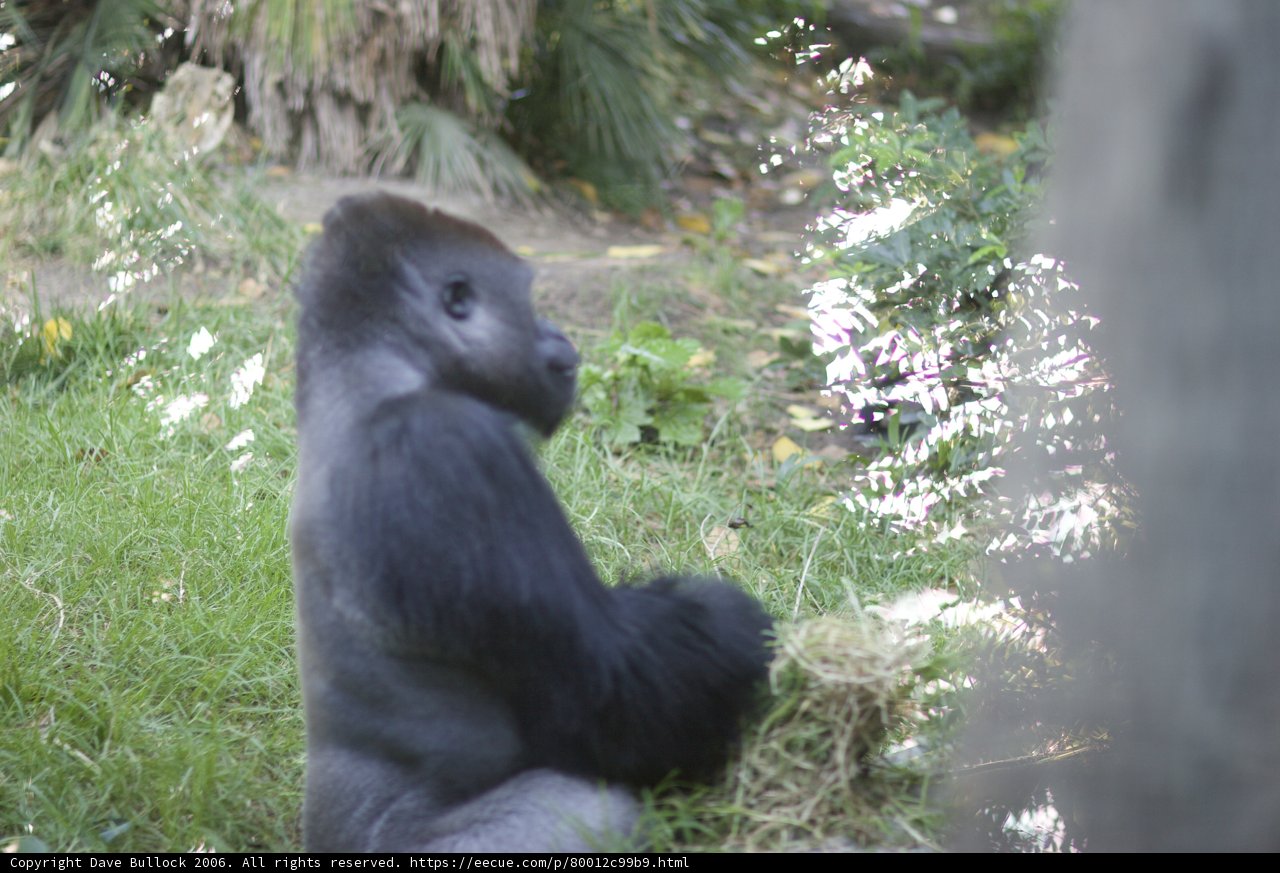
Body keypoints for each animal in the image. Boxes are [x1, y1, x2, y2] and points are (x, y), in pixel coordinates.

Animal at [289, 192, 773, 851]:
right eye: (531, 302)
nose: (559, 335)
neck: (369, 373)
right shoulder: (450, 448)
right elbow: (616, 686)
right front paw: (736, 624)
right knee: (595, 802)